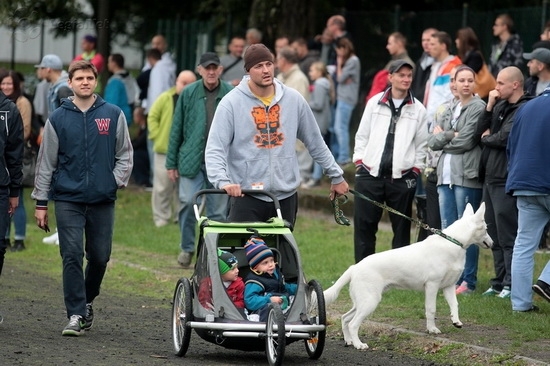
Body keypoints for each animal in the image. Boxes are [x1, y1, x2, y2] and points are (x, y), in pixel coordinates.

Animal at [326, 203, 494, 348]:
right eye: (486, 228)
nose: (492, 244)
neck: (454, 242)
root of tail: (354, 267)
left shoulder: (449, 286)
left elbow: (455, 305)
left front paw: (456, 321)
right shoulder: (432, 286)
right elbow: (431, 309)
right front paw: (432, 329)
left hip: (362, 301)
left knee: (345, 318)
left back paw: (349, 341)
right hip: (370, 301)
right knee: (353, 324)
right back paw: (359, 345)